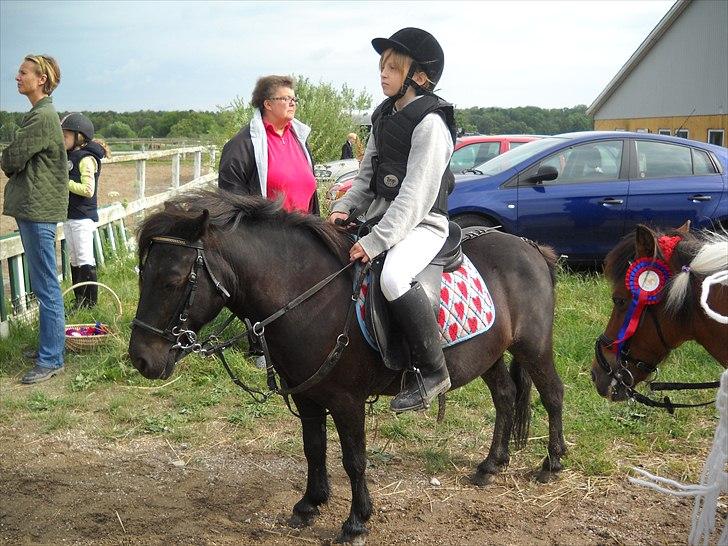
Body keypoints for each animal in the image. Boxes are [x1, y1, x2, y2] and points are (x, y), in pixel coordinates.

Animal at [129, 189, 564, 540]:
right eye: (143, 273)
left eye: (173, 279)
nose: (141, 358)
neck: (309, 295)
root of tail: (530, 247)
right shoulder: (307, 396)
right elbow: (314, 448)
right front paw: (309, 504)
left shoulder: (346, 400)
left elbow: (353, 459)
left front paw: (356, 522)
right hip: (488, 355)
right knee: (505, 396)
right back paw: (491, 465)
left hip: (534, 347)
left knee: (552, 395)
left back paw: (552, 463)